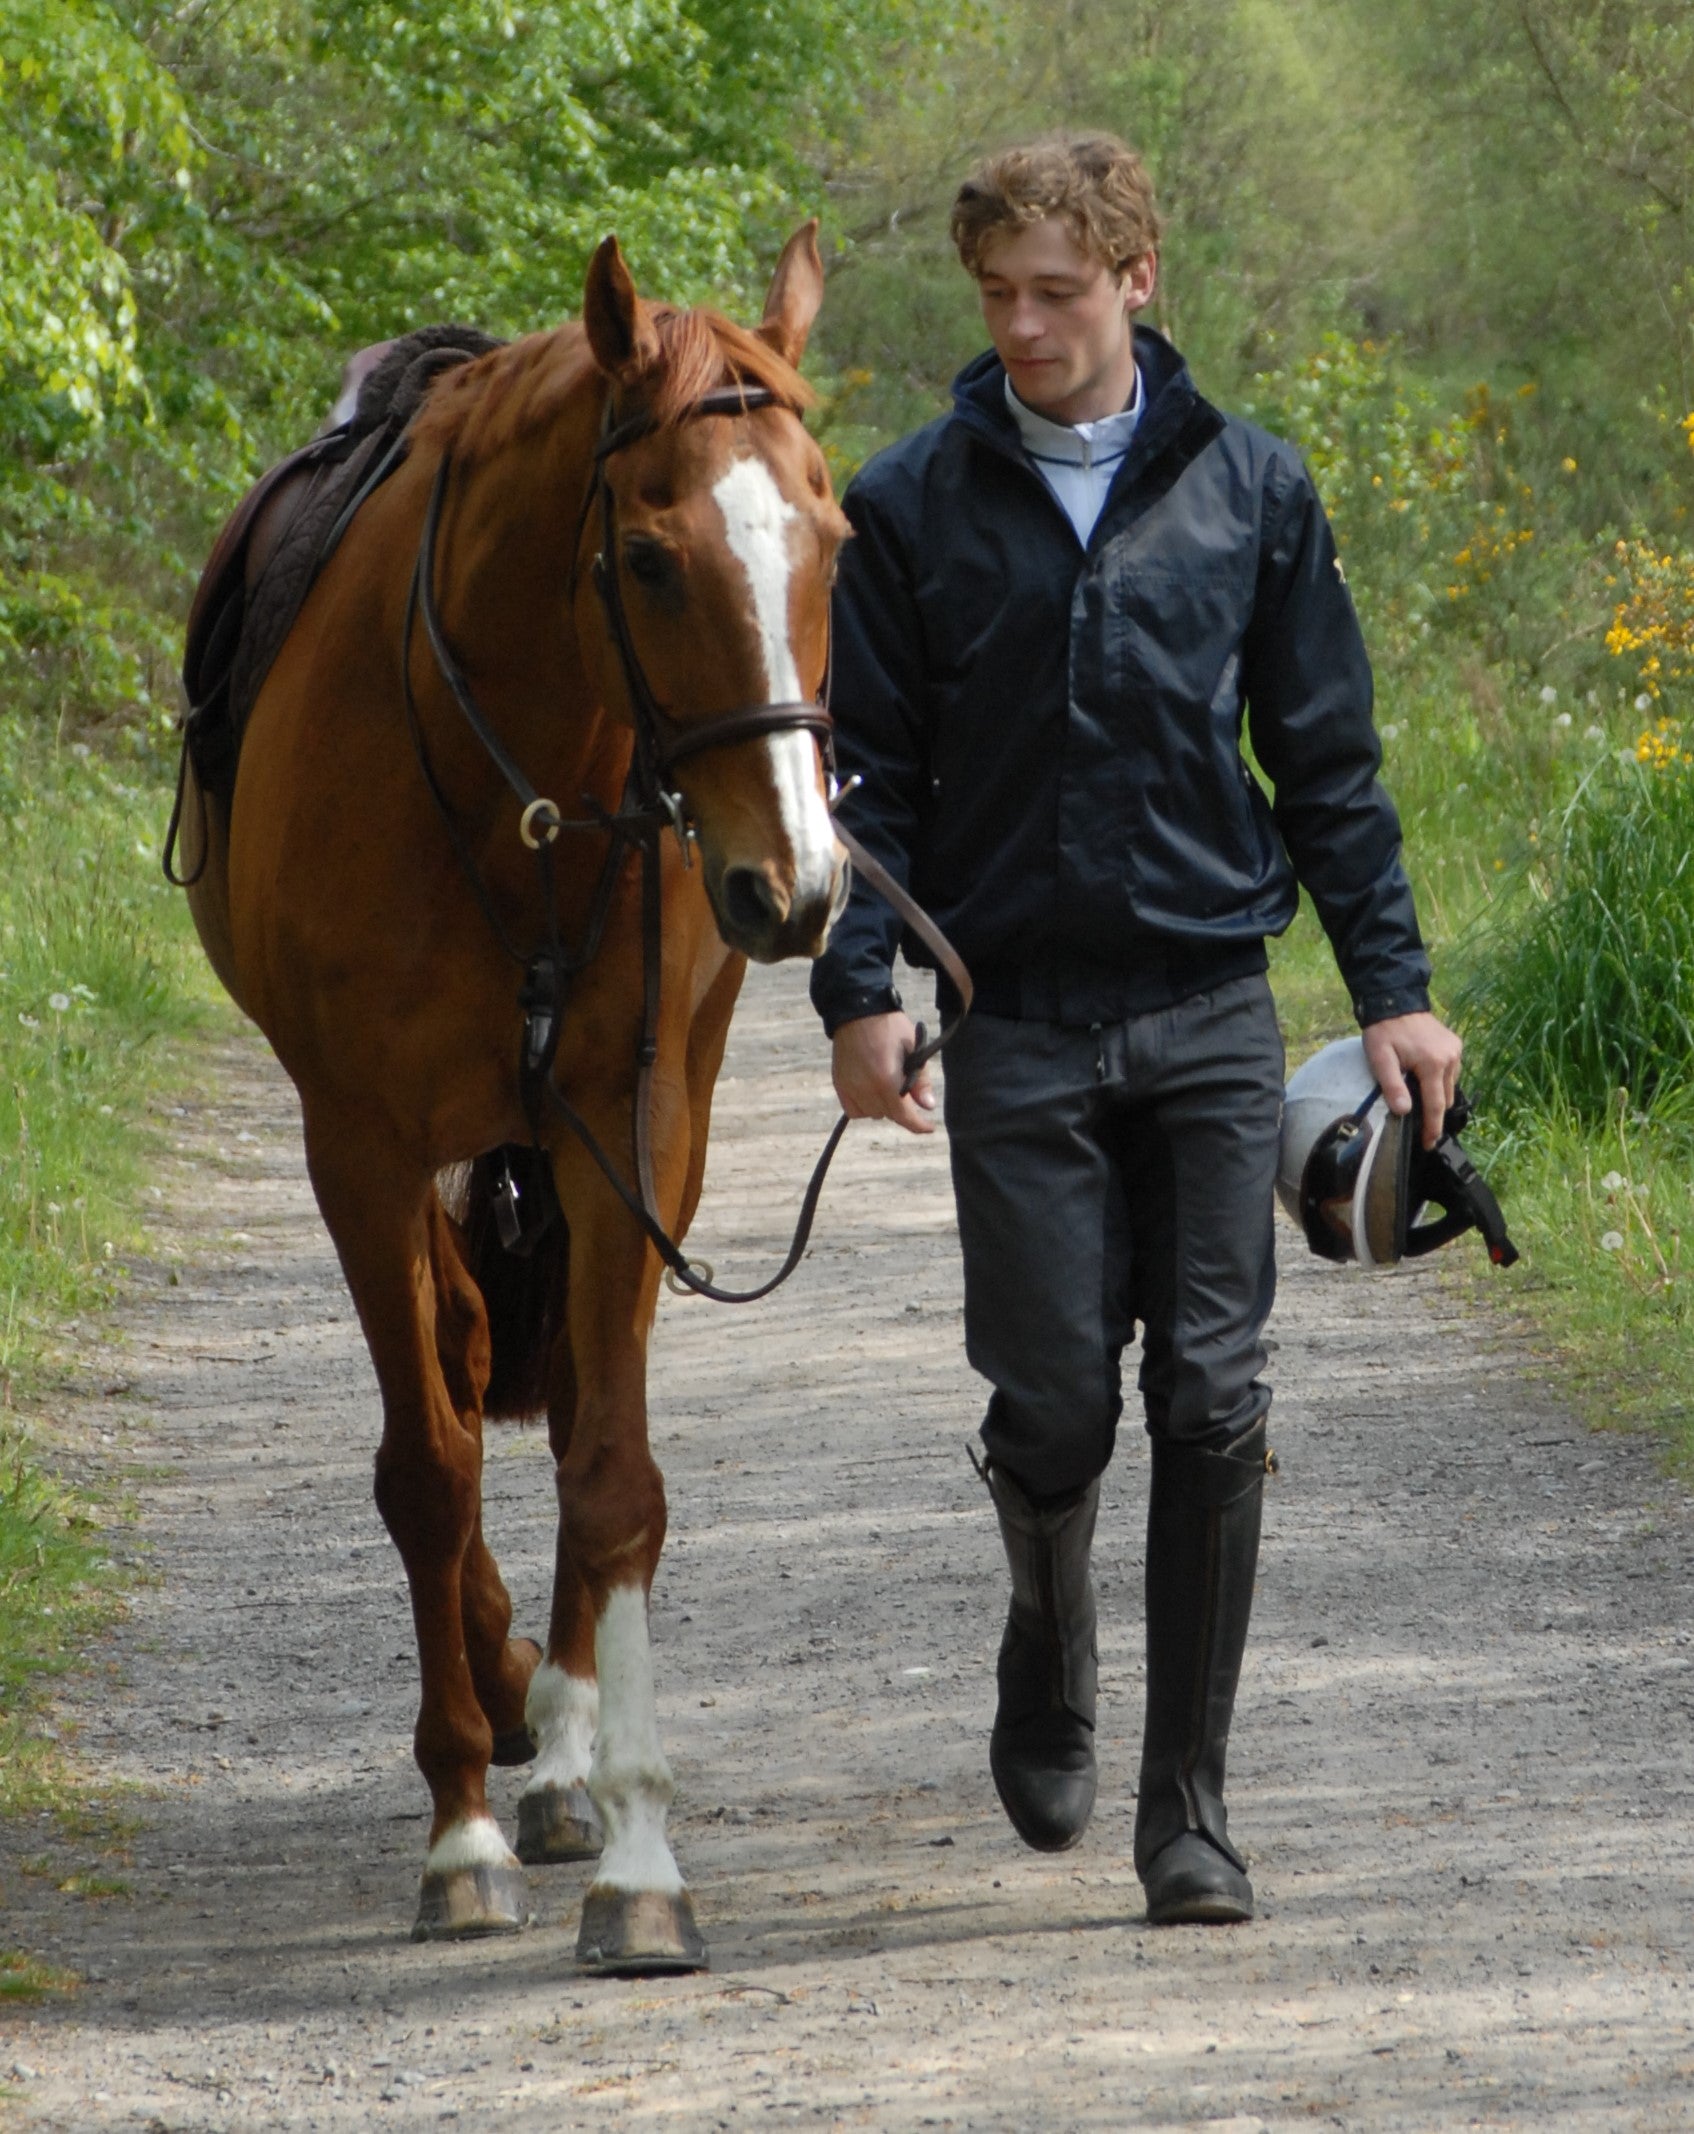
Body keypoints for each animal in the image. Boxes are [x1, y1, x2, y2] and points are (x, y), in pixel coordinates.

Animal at [174, 225, 844, 1971]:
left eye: (830, 535)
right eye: (652, 560)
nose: (796, 882)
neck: (511, 789)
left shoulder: (627, 1136)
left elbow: (610, 1473)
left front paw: (634, 1855)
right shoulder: (356, 1144)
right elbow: (428, 1466)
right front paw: (459, 1824)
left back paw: (559, 1744)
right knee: (468, 1373)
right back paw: (503, 1701)